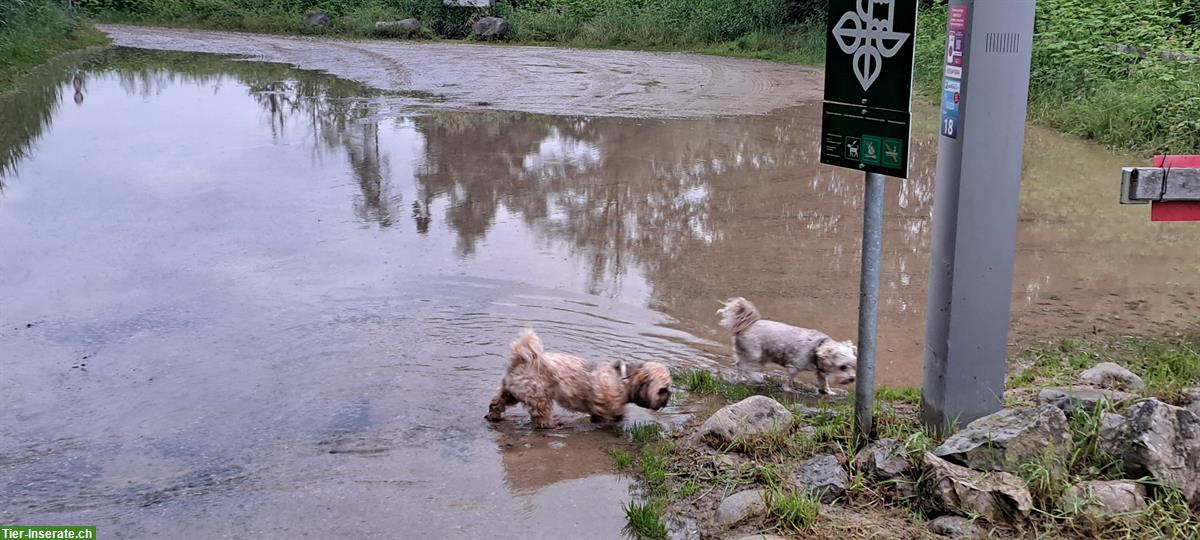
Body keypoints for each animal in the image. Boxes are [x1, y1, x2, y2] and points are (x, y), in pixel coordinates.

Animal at [487, 328, 676, 429]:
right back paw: (551, 424)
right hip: (539, 397)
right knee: (541, 416)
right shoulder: (606, 406)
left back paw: (493, 415)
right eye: (662, 390)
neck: (623, 379)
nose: (669, 395)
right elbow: (612, 415)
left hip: (512, 391)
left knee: (497, 401)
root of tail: (521, 360)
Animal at [715, 297, 859, 393]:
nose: (852, 379)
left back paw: (740, 379)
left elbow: (823, 381)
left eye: (853, 366)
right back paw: (756, 378)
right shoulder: (794, 366)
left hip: (745, 352)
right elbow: (787, 379)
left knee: (740, 365)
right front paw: (788, 389)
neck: (817, 347)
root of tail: (745, 326)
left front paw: (828, 392)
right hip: (754, 353)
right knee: (746, 366)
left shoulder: (820, 371)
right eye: (842, 367)